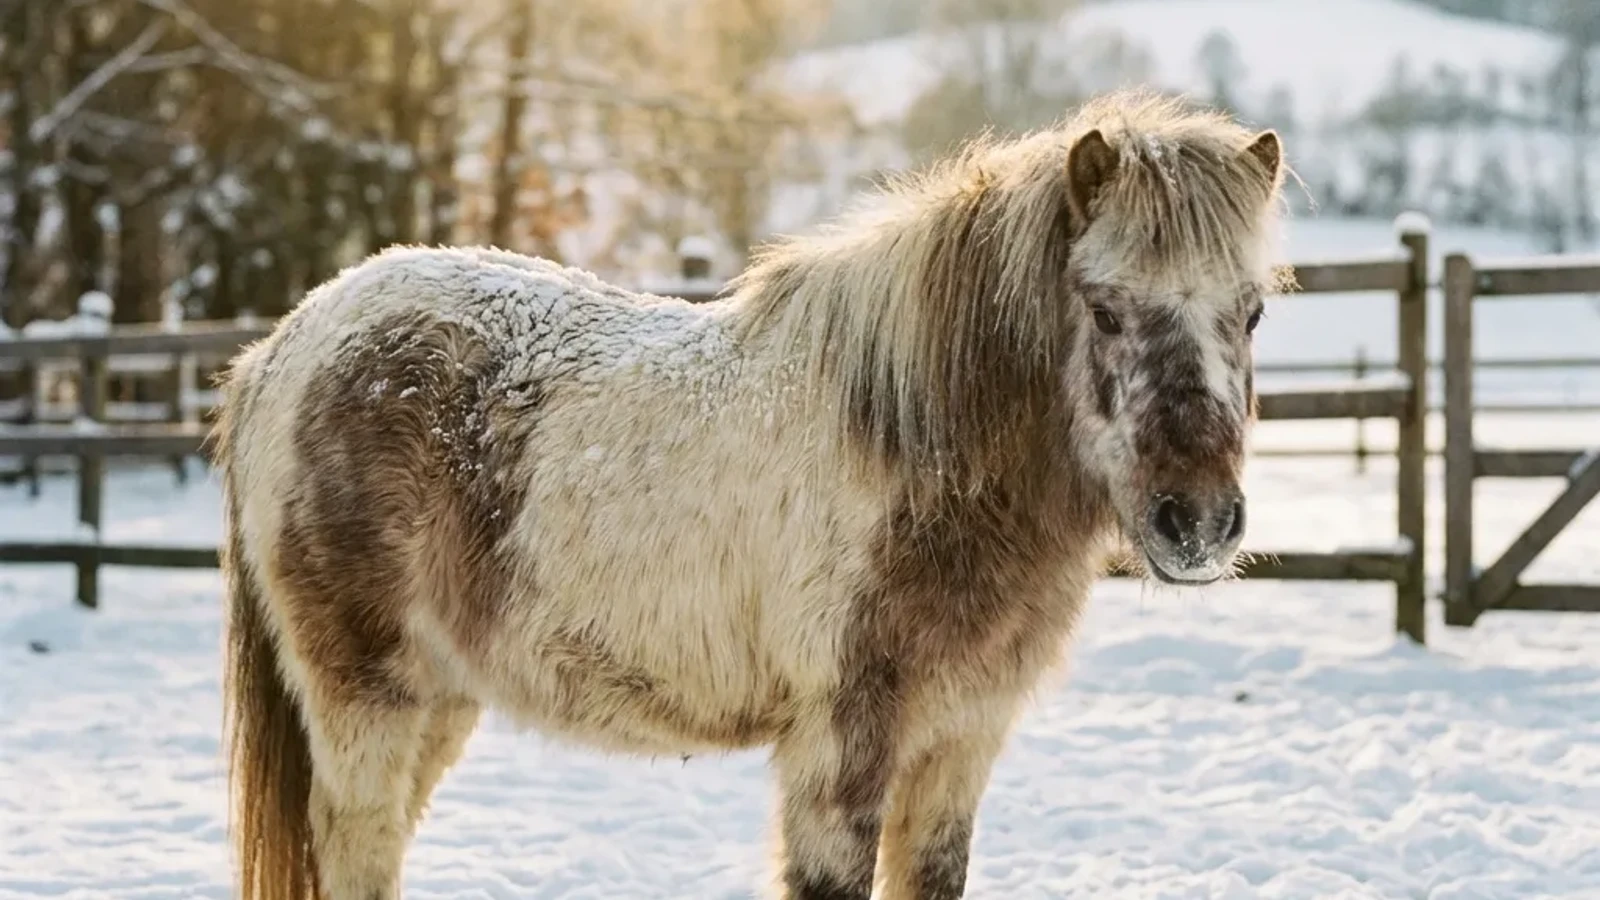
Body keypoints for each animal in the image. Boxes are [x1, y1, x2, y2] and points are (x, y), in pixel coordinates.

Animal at [215, 89, 1288, 900]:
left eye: (1251, 312)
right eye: (1103, 309)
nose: (1197, 523)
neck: (913, 450)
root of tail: (285, 347)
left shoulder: (959, 745)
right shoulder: (840, 753)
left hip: (439, 697)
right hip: (364, 697)